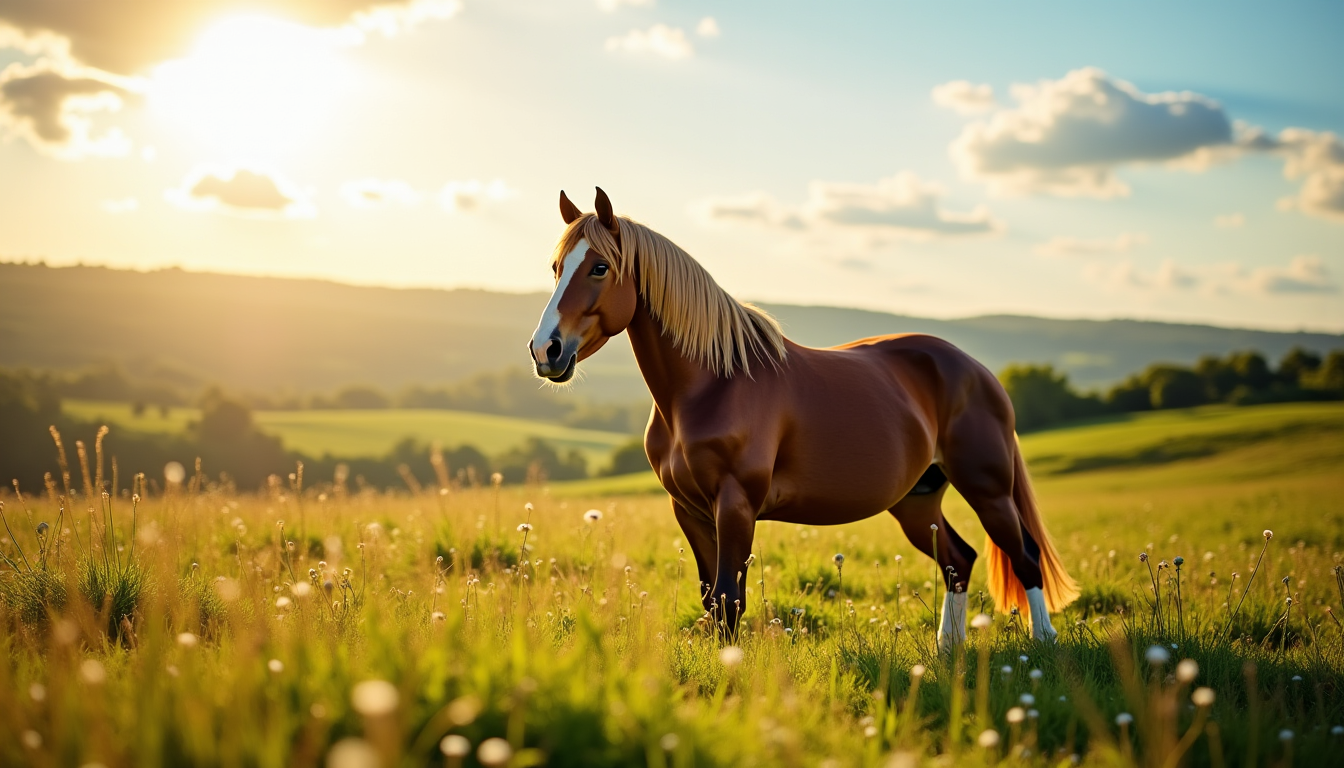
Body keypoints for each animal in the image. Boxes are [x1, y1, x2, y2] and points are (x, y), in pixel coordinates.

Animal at [528, 187, 1078, 647]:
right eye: (556, 268)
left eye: (600, 267)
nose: (545, 350)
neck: (710, 385)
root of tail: (976, 369)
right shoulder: (689, 510)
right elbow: (711, 598)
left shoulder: (735, 504)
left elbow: (729, 599)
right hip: (917, 500)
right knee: (958, 562)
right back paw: (949, 650)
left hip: (988, 488)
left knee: (1025, 558)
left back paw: (1043, 643)